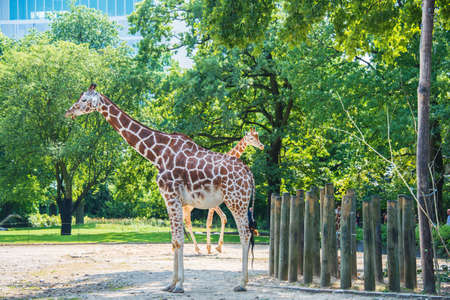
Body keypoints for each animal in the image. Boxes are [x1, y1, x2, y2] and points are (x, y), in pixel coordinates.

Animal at [66, 84, 256, 292]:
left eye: (84, 99)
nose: (69, 112)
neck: (157, 154)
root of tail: (249, 174)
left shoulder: (172, 196)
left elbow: (179, 240)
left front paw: (179, 285)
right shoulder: (169, 199)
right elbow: (174, 241)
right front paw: (170, 284)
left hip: (236, 201)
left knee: (245, 234)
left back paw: (242, 283)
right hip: (239, 202)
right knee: (246, 233)